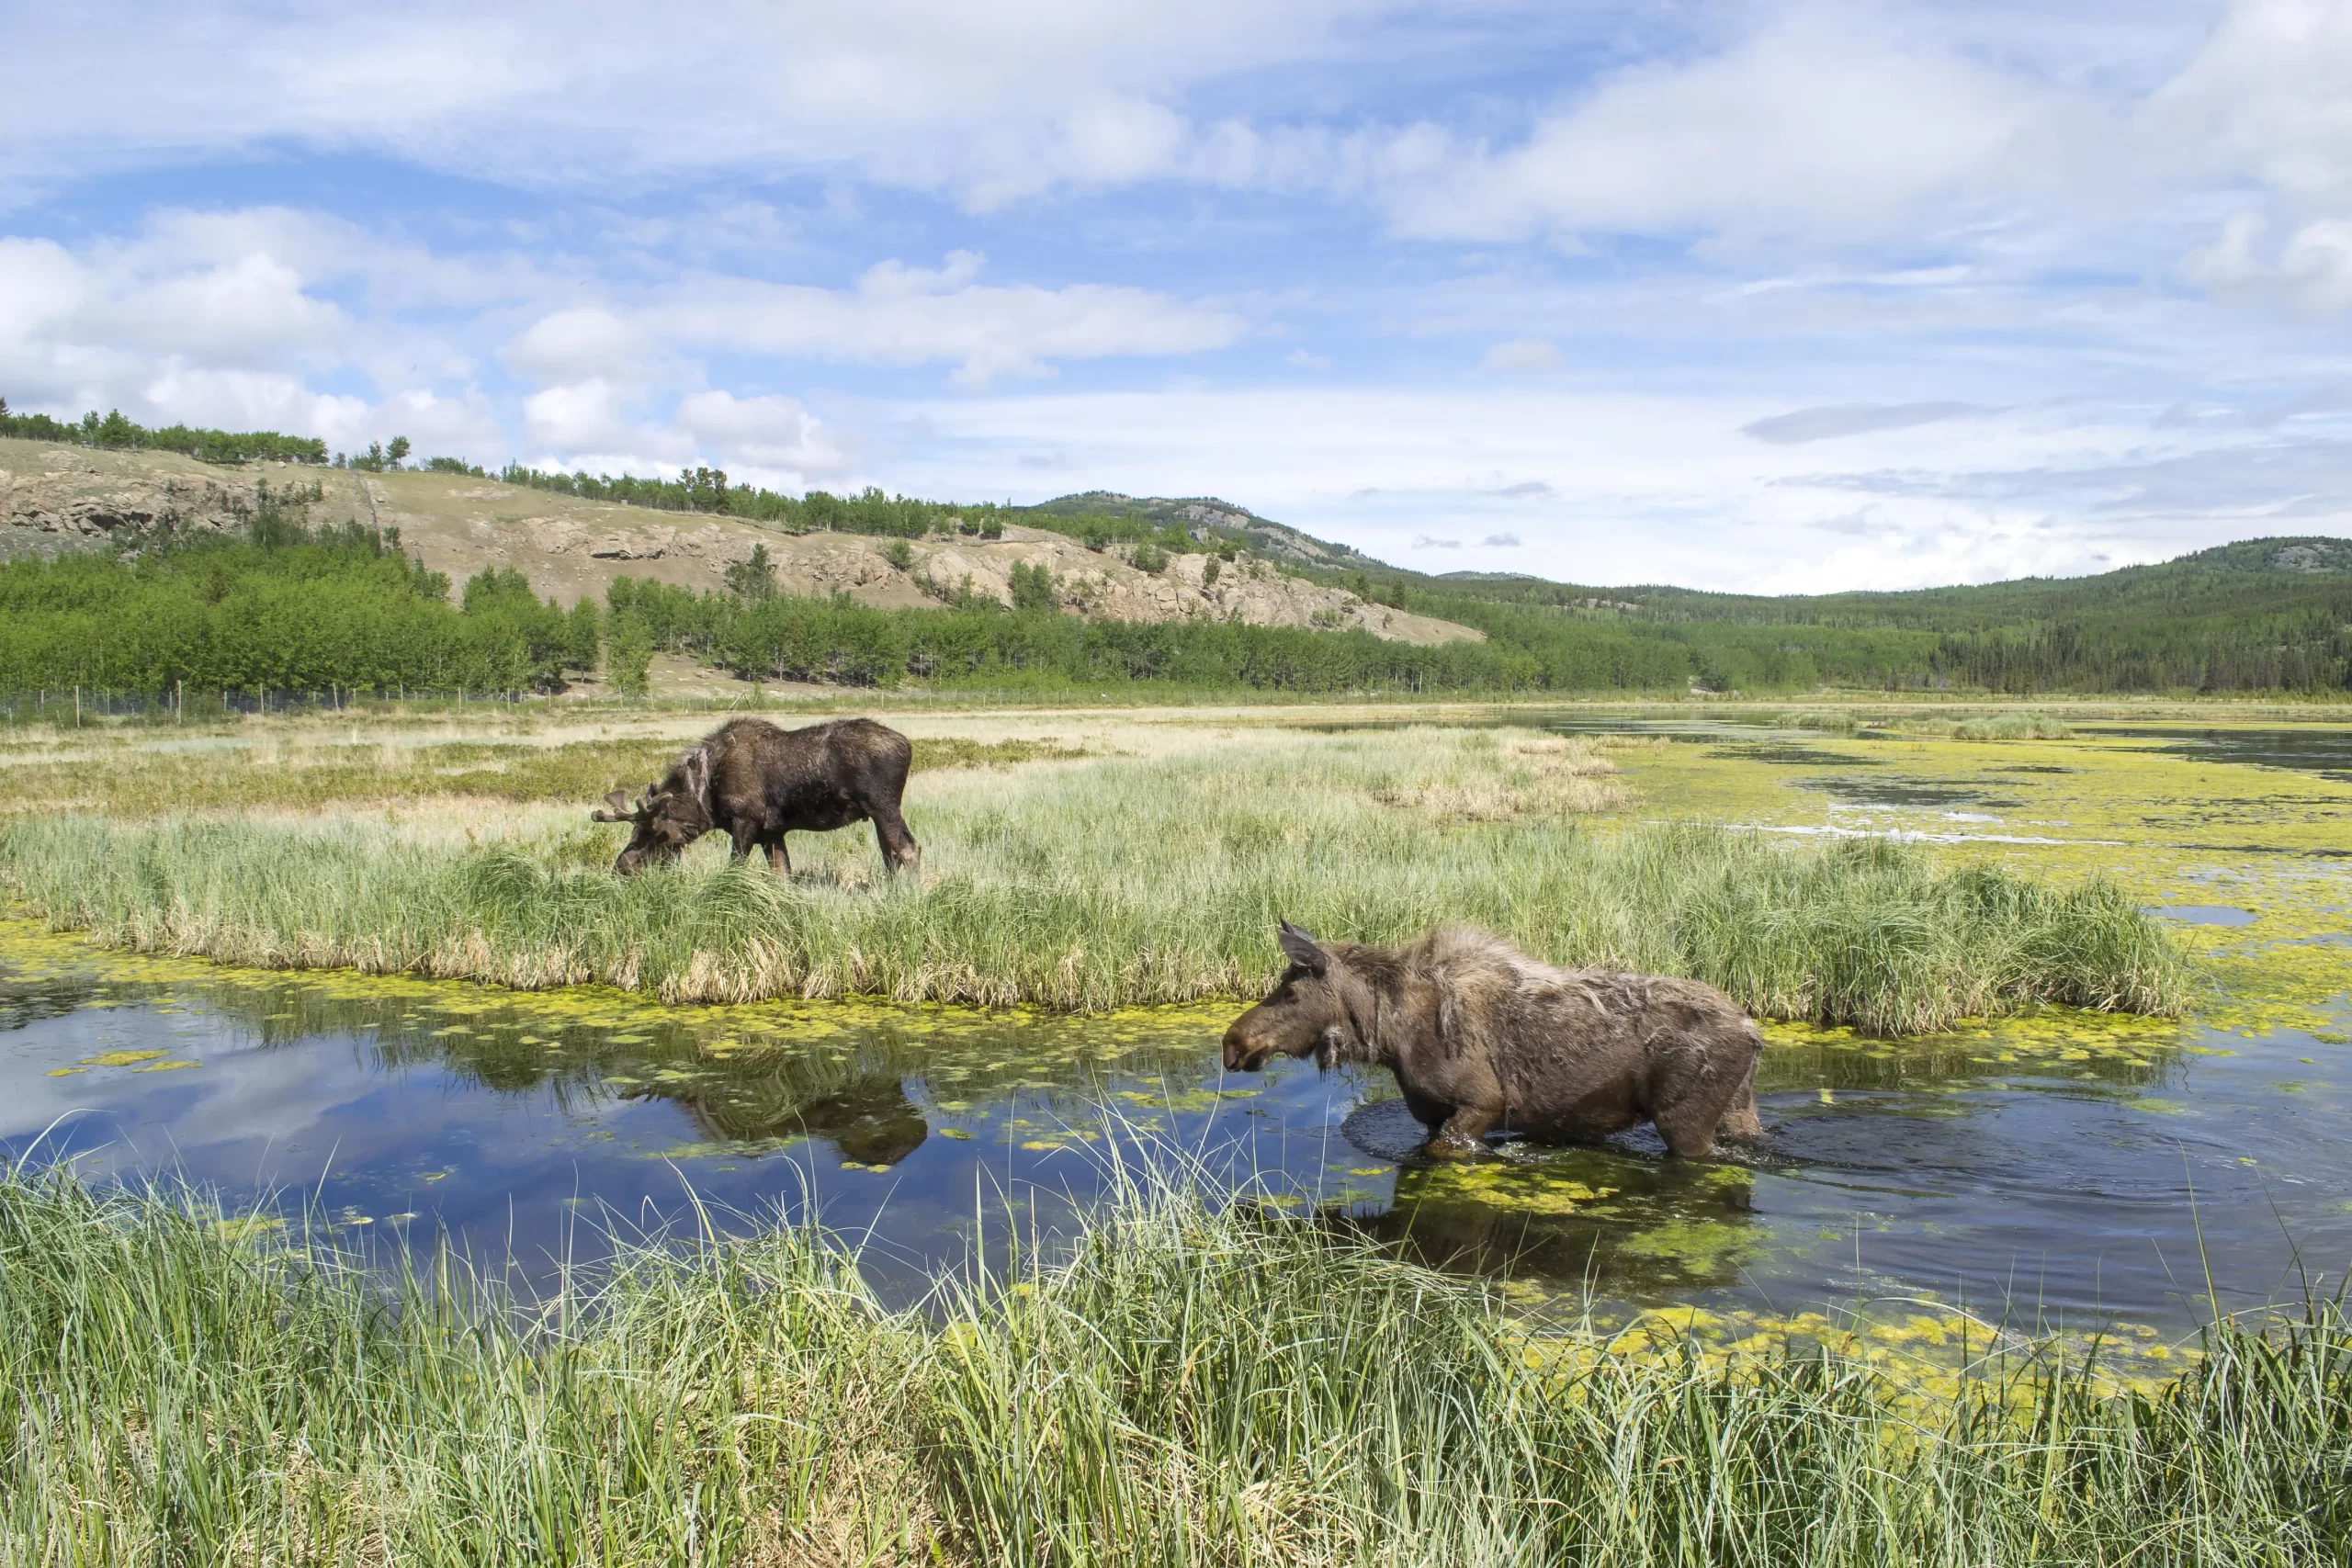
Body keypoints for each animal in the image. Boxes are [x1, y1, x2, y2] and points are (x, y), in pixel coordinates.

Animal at [588, 719, 917, 879]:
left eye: (651, 832)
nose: (622, 868)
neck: (706, 799)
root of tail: (908, 745)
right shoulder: (772, 832)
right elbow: (782, 875)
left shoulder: (745, 822)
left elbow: (734, 869)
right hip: (876, 813)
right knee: (891, 855)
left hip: (884, 805)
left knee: (909, 849)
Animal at [1223, 926, 1758, 1161]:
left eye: (1290, 992)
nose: (1233, 1041)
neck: (1390, 1036)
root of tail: (1754, 1033)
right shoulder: (1433, 1114)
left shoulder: (1482, 1104)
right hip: (1739, 1111)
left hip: (1684, 1122)